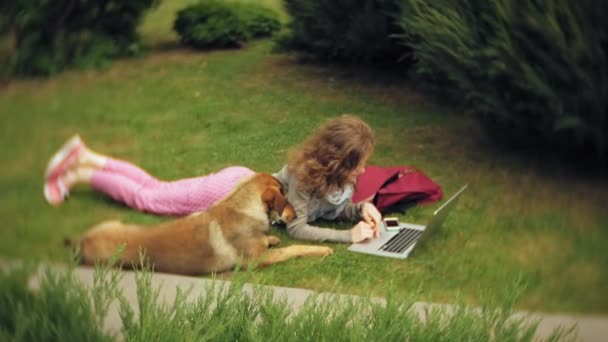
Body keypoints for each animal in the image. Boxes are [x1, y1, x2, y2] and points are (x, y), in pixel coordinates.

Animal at [72, 174, 338, 276]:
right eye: (286, 196)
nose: (296, 215)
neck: (243, 206)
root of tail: (81, 241)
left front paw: (269, 237)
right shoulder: (258, 261)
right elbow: (294, 249)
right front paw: (321, 249)